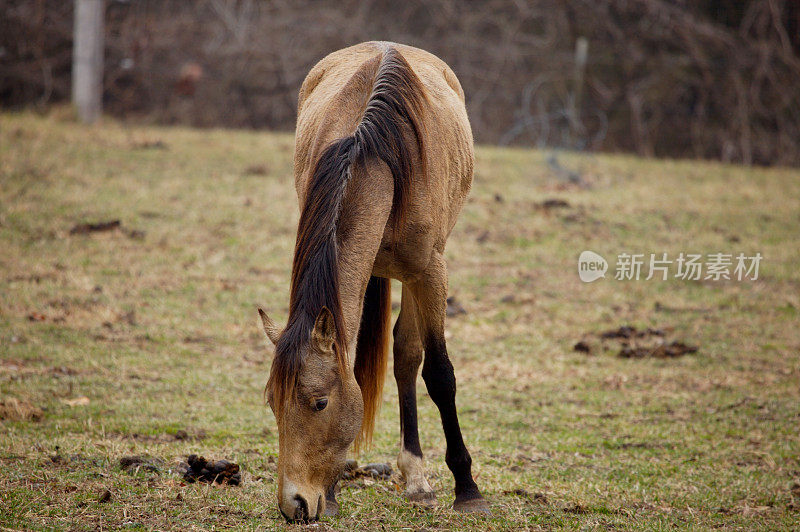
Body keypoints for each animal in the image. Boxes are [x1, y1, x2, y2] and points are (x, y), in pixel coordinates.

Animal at [256, 40, 488, 520]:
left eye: (319, 402)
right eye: (272, 402)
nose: (293, 505)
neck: (372, 154)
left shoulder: (430, 271)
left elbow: (439, 374)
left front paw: (467, 489)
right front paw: (332, 492)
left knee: (408, 356)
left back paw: (418, 479)